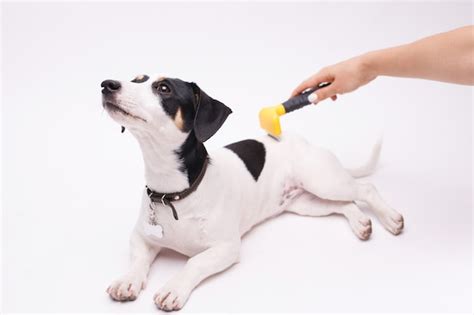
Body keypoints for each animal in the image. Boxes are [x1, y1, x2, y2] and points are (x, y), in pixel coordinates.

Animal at [101, 74, 404, 314]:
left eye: (164, 88)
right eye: (136, 78)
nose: (107, 84)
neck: (175, 193)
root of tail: (307, 143)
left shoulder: (226, 248)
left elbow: (194, 262)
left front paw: (174, 287)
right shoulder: (141, 237)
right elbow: (138, 260)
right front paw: (128, 280)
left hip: (322, 180)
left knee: (365, 189)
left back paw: (390, 218)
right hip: (306, 202)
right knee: (345, 204)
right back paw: (361, 223)